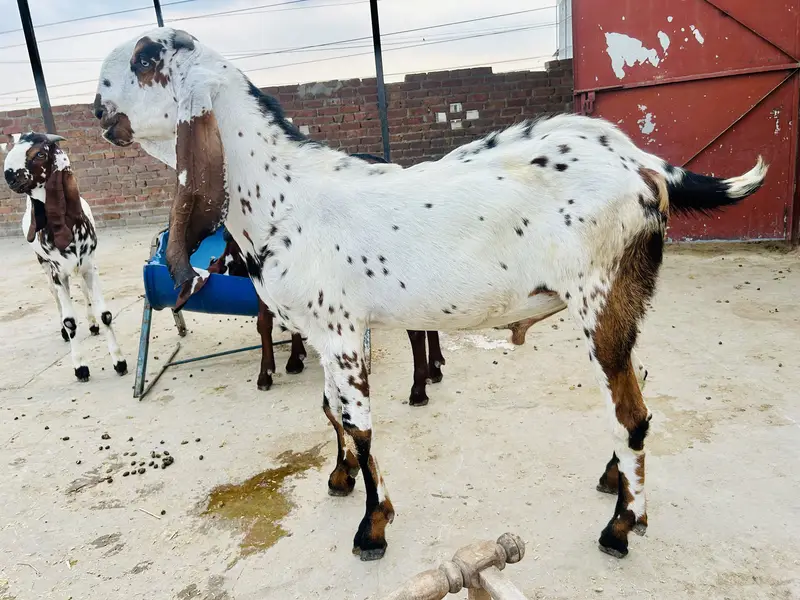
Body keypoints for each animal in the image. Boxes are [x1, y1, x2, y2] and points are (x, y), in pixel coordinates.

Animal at [3, 133, 127, 381]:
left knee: (83, 291)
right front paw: (80, 366)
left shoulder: (90, 266)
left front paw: (119, 362)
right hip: (45, 266)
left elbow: (105, 314)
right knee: (55, 296)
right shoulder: (57, 272)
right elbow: (69, 321)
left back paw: (92, 324)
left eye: (39, 153)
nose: (8, 175)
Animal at [95, 28, 767, 561]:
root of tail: (645, 165)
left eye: (146, 58)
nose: (98, 106)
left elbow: (360, 421)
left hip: (601, 299)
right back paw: (613, 481)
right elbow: (330, 410)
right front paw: (340, 478)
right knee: (634, 390)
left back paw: (623, 525)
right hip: (620, 303)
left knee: (631, 413)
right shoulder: (323, 330)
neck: (286, 193)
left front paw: (373, 527)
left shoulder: (341, 329)